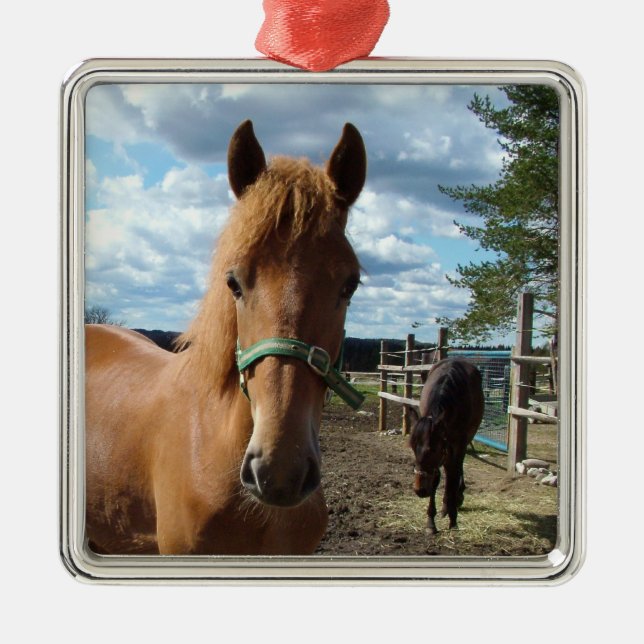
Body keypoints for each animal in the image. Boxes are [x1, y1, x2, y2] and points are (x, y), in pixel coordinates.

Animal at [408, 358, 484, 534]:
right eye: (412, 448)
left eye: (433, 449)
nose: (420, 490)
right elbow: (436, 479)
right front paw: (431, 522)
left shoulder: (456, 446)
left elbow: (452, 478)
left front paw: (453, 520)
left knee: (456, 470)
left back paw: (456, 499)